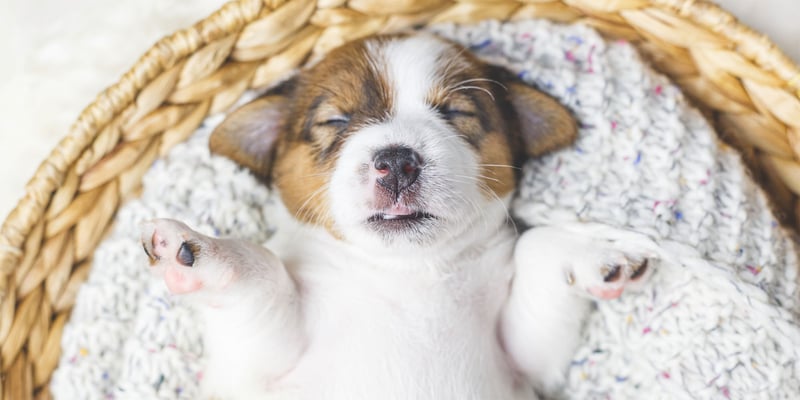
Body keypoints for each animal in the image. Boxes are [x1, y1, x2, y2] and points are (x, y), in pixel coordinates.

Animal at [139, 34, 664, 400]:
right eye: (336, 120)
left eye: (455, 112)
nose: (396, 162)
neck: (406, 274)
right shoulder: (252, 366)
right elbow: (264, 270)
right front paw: (201, 249)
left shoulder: (527, 357)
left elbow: (535, 249)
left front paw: (596, 249)